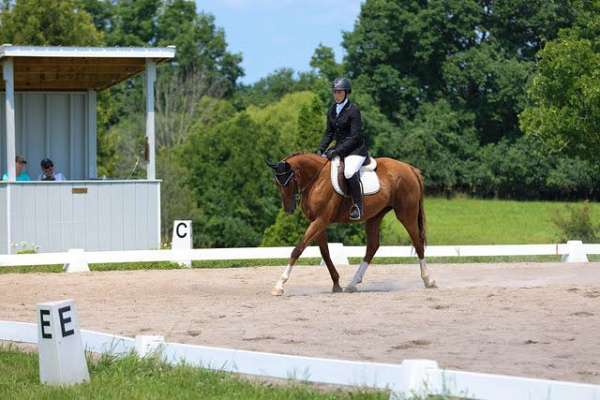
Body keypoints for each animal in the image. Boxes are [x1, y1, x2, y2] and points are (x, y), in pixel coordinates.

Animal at [268, 152, 436, 296]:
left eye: (288, 182)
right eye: (276, 183)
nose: (288, 209)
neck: (316, 179)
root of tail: (410, 168)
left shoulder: (321, 220)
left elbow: (297, 250)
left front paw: (279, 285)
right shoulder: (317, 221)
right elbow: (325, 253)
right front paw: (336, 284)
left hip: (406, 214)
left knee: (417, 243)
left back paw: (428, 280)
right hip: (375, 216)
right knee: (372, 246)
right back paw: (352, 284)